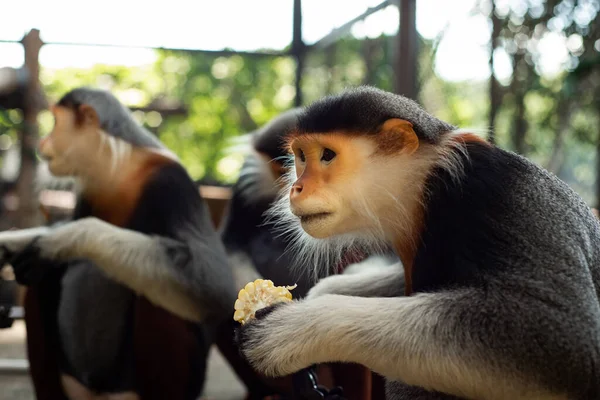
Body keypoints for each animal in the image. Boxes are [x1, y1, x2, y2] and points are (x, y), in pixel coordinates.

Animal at [0, 88, 237, 400]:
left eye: (55, 122)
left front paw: (56, 243)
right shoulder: (90, 188)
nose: (42, 142)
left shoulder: (172, 183)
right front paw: (8, 243)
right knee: (40, 281)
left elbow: (215, 286)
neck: (120, 172)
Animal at [233, 85, 600, 400]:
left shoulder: (493, 194)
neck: (428, 184)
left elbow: (570, 339)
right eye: (301, 157)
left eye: (326, 155)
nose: (296, 188)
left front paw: (291, 329)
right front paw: (323, 293)